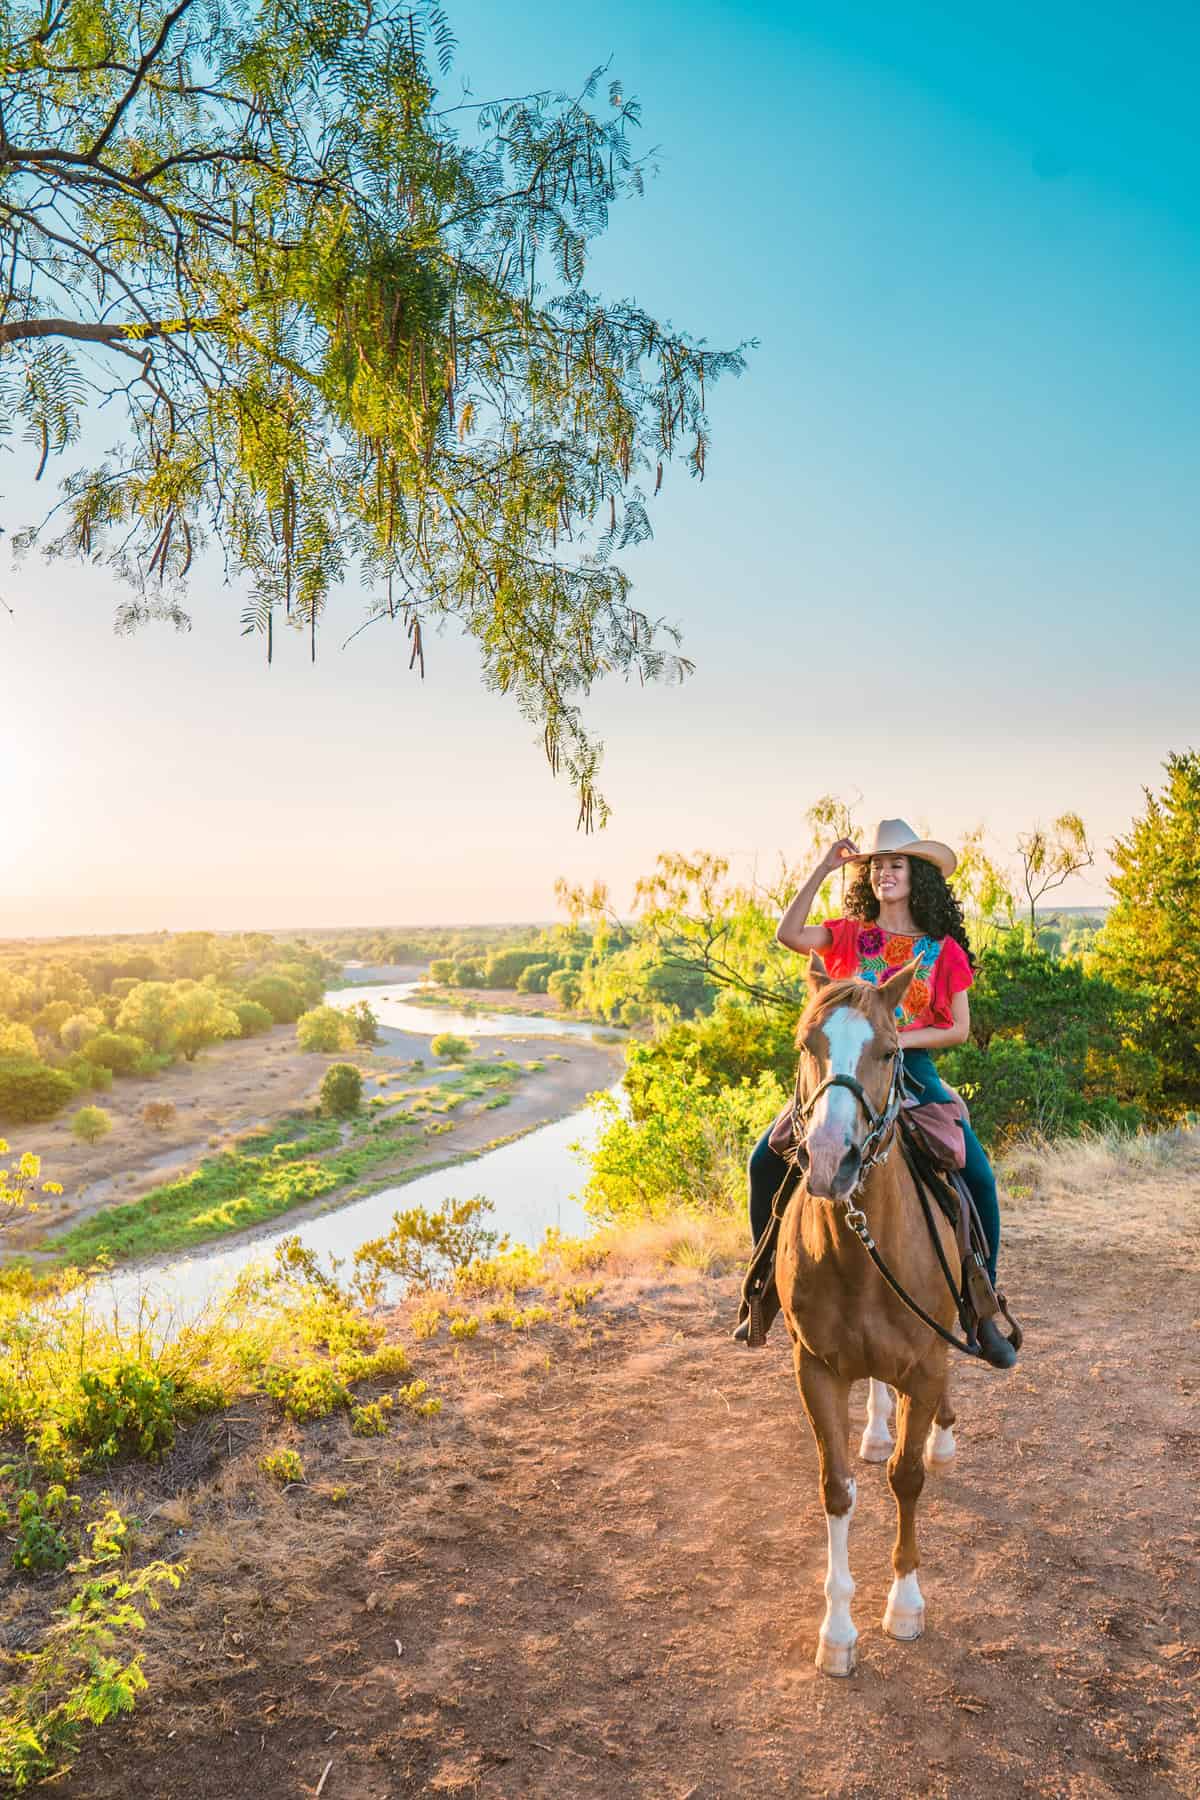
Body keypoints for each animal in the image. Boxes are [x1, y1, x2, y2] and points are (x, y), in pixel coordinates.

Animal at [773, 957, 964, 1670]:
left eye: (888, 1051)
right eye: (807, 1044)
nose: (833, 1160)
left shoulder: (927, 1363)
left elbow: (906, 1478)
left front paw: (904, 1605)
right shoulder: (815, 1370)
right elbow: (838, 1487)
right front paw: (836, 1631)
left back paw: (940, 1434)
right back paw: (879, 1428)